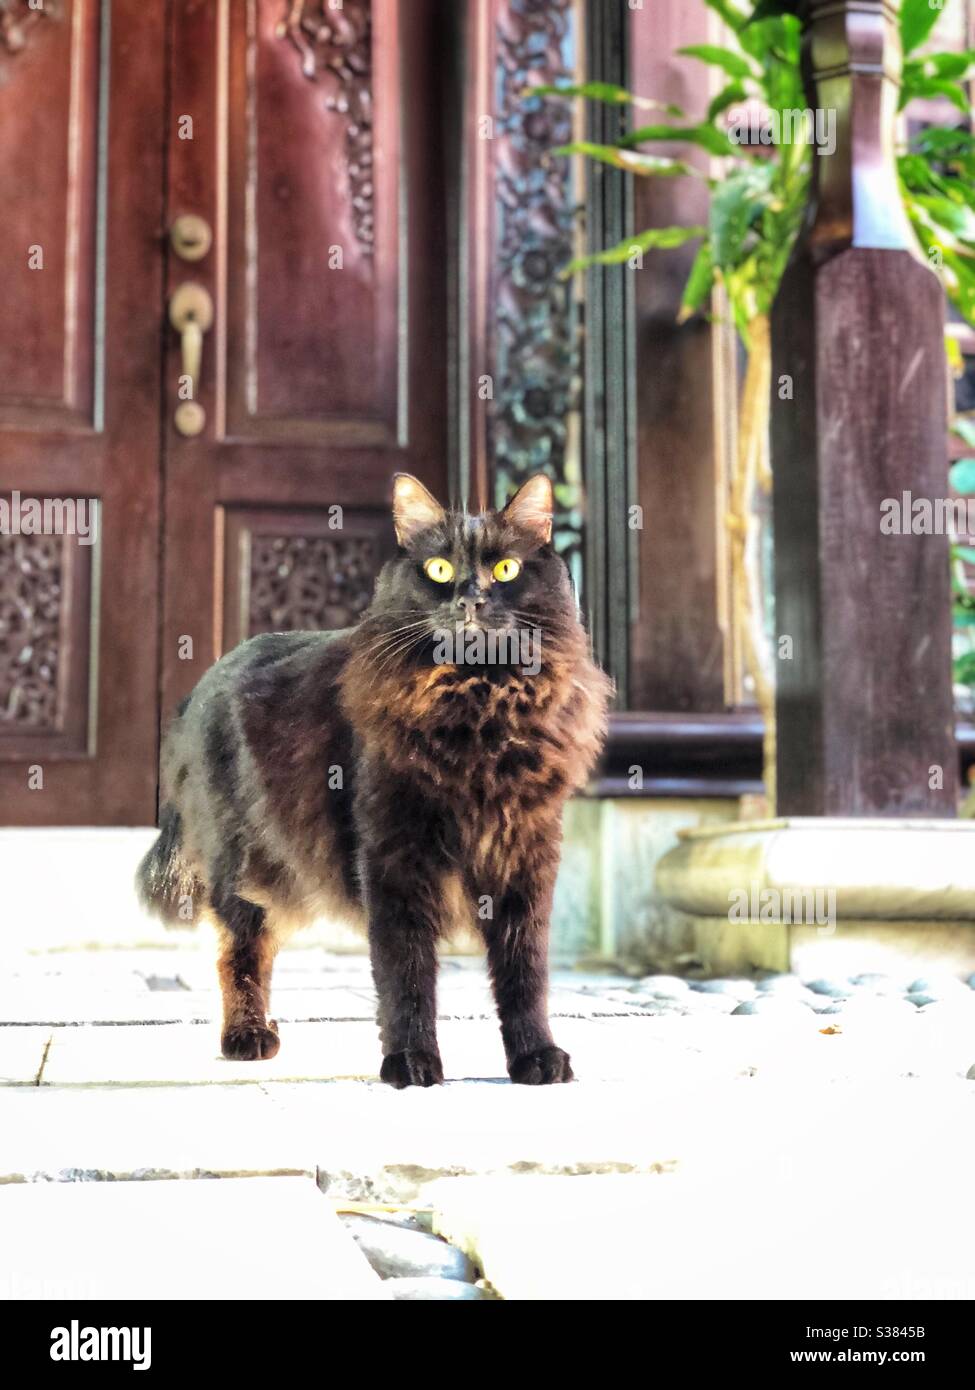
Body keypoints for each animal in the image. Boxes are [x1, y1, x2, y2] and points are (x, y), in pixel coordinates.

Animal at [137, 475, 609, 1084]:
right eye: (438, 569)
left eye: (506, 569)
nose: (470, 599)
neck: (477, 706)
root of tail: (196, 690)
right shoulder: (394, 857)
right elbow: (405, 973)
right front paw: (410, 1063)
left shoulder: (524, 857)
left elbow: (525, 974)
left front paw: (535, 1057)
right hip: (243, 865)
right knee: (239, 949)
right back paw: (247, 1037)